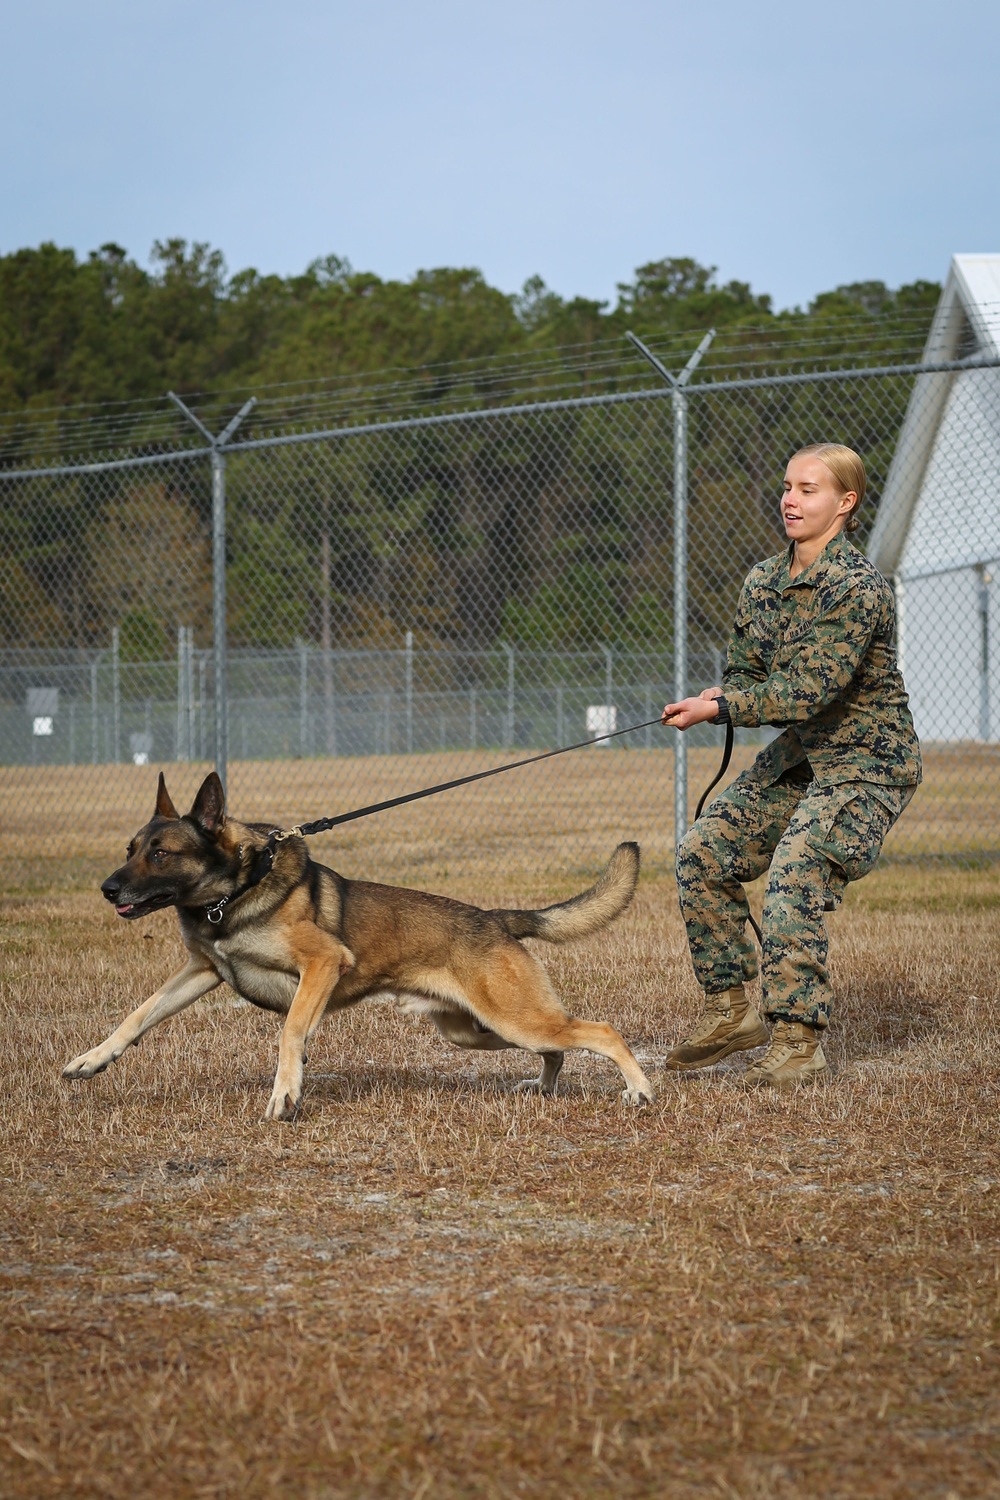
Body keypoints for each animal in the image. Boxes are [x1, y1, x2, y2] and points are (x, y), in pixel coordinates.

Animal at [64, 774, 656, 1116]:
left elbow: (290, 1032)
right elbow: (138, 1015)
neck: (234, 893)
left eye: (161, 853)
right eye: (131, 848)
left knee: (600, 1031)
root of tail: (495, 919)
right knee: (558, 1048)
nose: (108, 889)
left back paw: (640, 1091)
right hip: (475, 1030)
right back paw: (544, 1087)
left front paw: (285, 1095)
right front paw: (90, 1061)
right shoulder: (201, 972)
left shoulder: (323, 963)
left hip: (513, 1019)